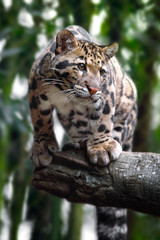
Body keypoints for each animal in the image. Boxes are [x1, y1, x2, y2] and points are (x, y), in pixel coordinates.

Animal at [28, 25, 136, 240]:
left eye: (102, 72)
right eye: (80, 66)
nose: (93, 89)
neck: (66, 93)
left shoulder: (106, 93)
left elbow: (102, 121)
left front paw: (102, 148)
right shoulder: (36, 86)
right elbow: (40, 121)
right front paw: (42, 149)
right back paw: (79, 142)